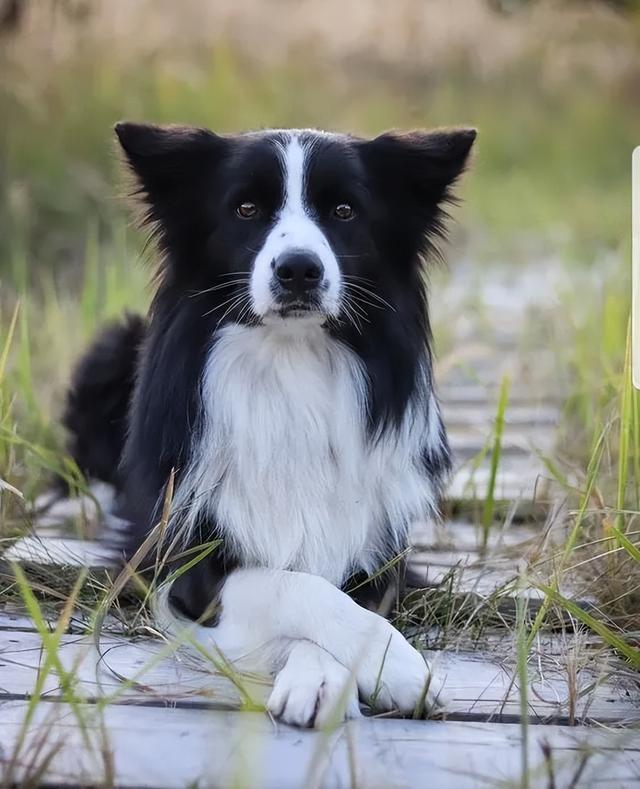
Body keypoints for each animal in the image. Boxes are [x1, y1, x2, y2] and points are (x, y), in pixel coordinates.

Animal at [63, 123, 476, 728]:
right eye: (247, 208)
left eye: (345, 211)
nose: (299, 269)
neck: (290, 366)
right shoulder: (183, 565)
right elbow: (291, 584)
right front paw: (393, 664)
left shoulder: (381, 555)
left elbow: (333, 587)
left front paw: (330, 673)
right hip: (110, 351)